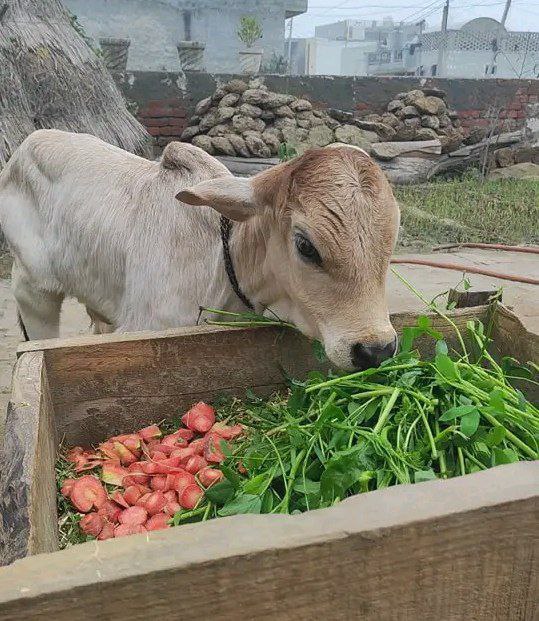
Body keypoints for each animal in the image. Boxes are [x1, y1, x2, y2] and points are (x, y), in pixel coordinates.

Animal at [0, 130, 400, 368]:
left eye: (392, 240)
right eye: (305, 246)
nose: (376, 350)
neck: (222, 262)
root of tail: (24, 147)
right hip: (33, 290)